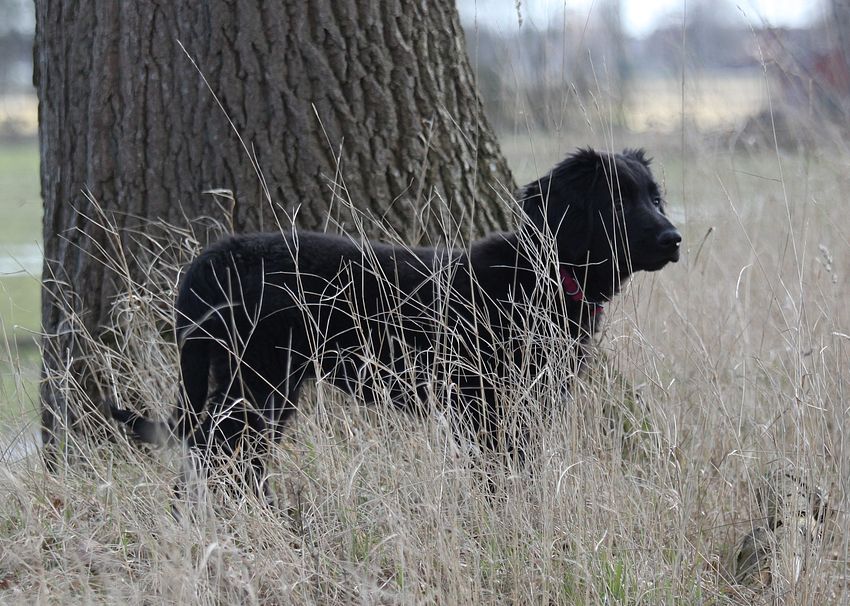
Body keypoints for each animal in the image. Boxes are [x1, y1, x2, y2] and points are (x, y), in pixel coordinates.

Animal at [111, 147, 681, 497]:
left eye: (655, 196)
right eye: (616, 201)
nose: (674, 238)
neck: (544, 273)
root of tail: (212, 259)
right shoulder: (485, 406)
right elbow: (500, 475)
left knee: (218, 458)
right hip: (257, 384)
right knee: (218, 457)